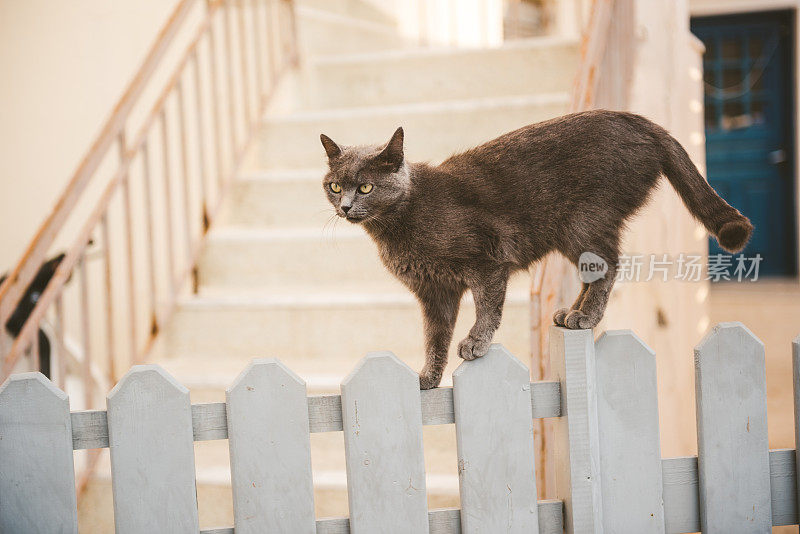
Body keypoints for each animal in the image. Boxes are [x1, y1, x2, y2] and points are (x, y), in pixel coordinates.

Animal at [318, 111, 752, 392]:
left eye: (367, 187)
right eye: (335, 186)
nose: (346, 207)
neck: (396, 226)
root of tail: (643, 122)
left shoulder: (487, 260)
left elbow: (487, 307)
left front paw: (475, 342)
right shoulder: (434, 292)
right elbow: (433, 335)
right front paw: (428, 377)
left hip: (584, 220)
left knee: (610, 267)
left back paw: (585, 316)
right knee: (595, 273)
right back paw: (571, 313)